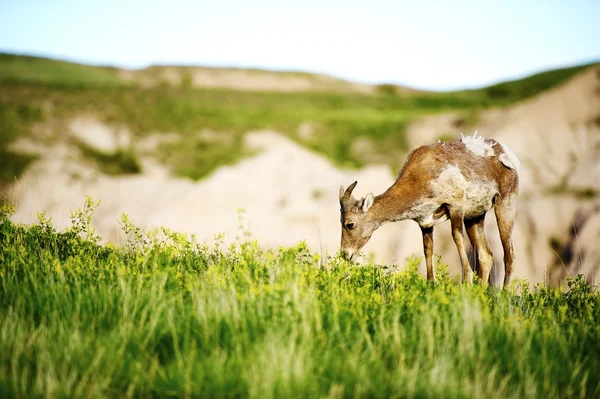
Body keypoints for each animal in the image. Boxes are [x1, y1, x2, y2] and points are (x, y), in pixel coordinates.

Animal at [340, 134, 516, 284]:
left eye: (350, 224)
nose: (345, 254)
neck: (421, 172)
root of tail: (504, 151)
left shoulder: (455, 207)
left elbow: (457, 238)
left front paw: (466, 281)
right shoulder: (425, 222)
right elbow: (428, 249)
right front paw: (431, 283)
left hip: (504, 205)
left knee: (509, 255)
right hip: (474, 218)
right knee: (486, 256)